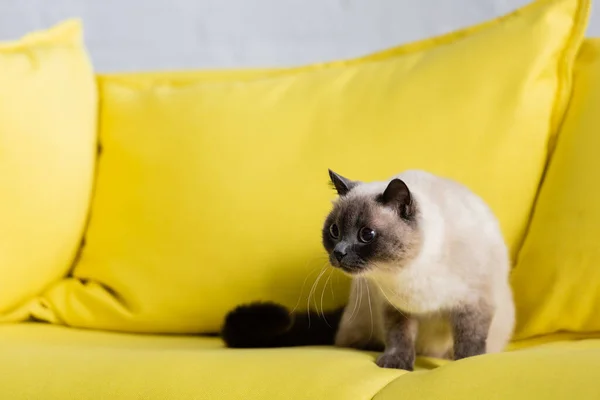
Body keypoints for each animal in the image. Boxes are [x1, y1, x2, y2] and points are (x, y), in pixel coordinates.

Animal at [221, 170, 516, 372]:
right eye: (334, 231)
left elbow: (470, 342)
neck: (406, 274)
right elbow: (399, 337)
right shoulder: (394, 307)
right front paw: (396, 363)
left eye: (367, 235)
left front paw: (468, 363)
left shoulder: (474, 304)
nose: (338, 253)